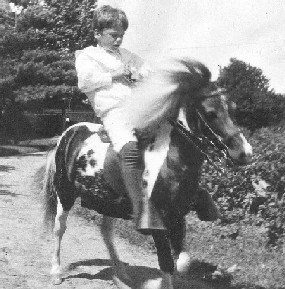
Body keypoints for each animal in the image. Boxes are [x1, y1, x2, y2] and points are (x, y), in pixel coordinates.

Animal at [40, 56, 251, 288]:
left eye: (233, 109)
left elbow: (181, 261)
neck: (171, 161)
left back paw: (121, 275)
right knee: (59, 228)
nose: (244, 153)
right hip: (65, 194)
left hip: (108, 203)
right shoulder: (158, 221)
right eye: (211, 113)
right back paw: (56, 272)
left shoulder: (178, 217)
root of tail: (70, 132)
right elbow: (166, 262)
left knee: (106, 233)